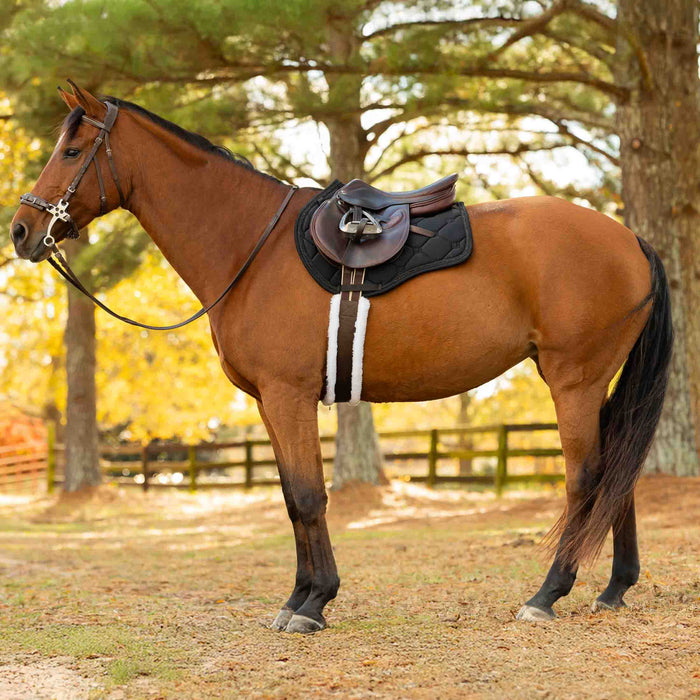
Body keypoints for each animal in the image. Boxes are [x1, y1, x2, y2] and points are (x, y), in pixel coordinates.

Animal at [10, 82, 671, 633]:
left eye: (72, 150)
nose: (20, 231)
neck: (253, 246)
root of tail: (629, 239)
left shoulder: (289, 395)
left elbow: (308, 496)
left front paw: (315, 602)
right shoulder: (271, 403)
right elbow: (291, 496)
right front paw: (299, 598)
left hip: (574, 381)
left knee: (587, 478)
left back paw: (547, 594)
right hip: (595, 384)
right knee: (619, 472)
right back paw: (614, 588)